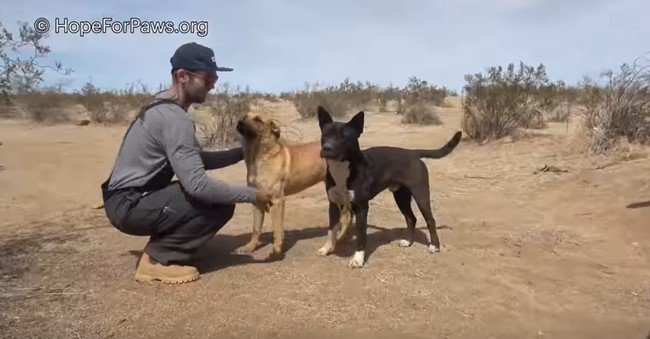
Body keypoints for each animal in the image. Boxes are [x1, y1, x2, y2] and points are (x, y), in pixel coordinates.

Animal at [237, 113, 352, 258]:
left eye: (258, 120)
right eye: (244, 116)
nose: (239, 122)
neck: (259, 156)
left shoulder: (278, 201)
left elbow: (277, 230)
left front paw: (276, 251)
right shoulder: (257, 201)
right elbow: (256, 228)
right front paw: (250, 247)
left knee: (347, 217)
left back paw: (340, 239)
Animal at [316, 106, 460, 268]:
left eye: (343, 137)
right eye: (325, 135)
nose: (327, 148)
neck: (343, 167)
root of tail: (413, 152)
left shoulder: (361, 208)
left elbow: (360, 235)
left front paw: (358, 259)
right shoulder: (333, 204)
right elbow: (331, 229)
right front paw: (327, 248)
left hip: (421, 194)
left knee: (430, 220)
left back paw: (434, 246)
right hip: (401, 196)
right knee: (411, 218)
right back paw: (408, 242)